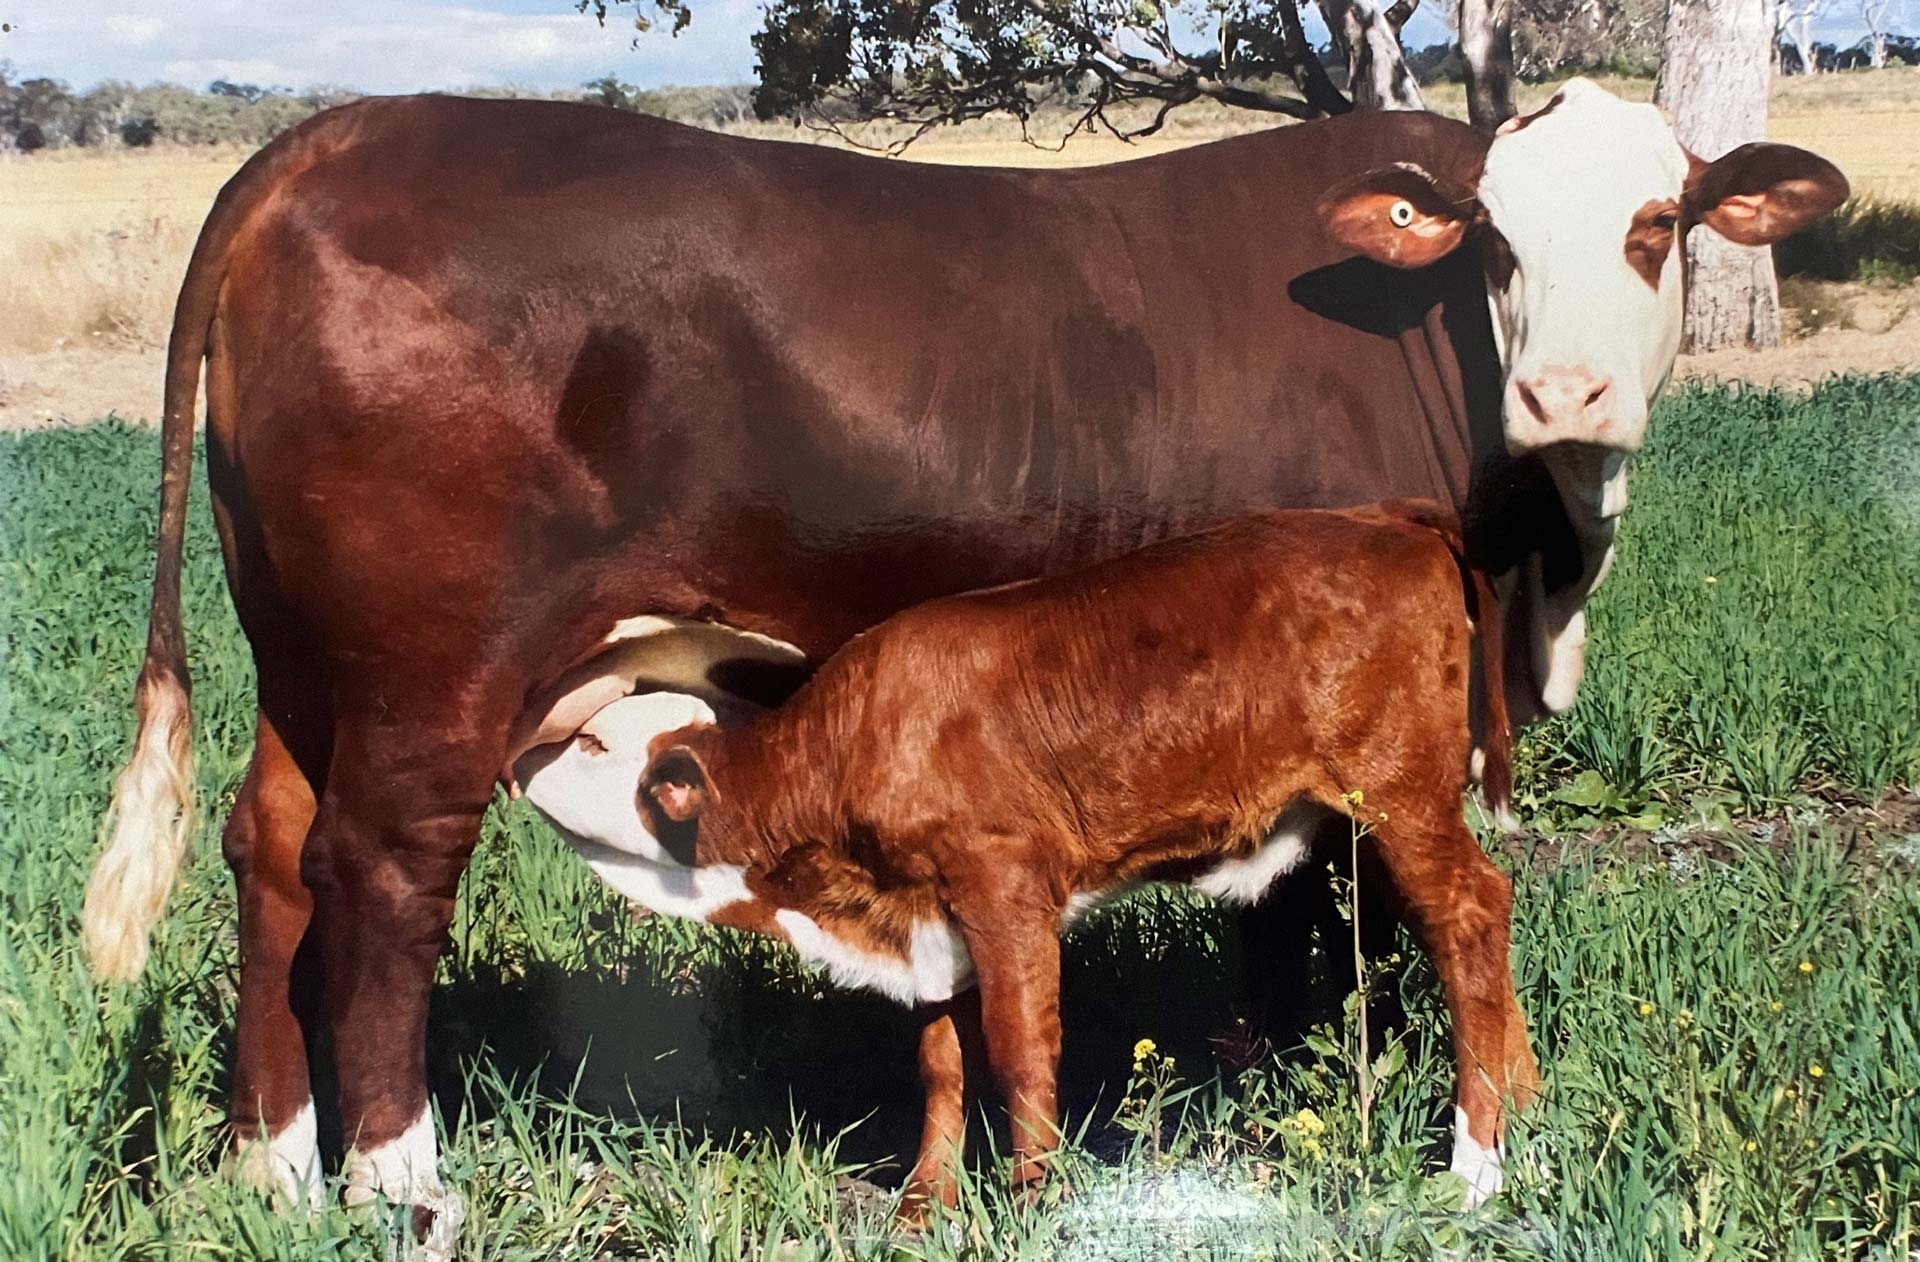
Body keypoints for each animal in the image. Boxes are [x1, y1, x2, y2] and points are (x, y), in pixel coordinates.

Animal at [512, 501, 1535, 1214]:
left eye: (595, 743)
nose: (518, 755)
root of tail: (1384, 515)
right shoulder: (930, 915)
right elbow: (940, 1061)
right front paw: (925, 1206)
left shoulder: (1002, 882)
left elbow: (1017, 1049)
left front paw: (1034, 1198)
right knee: (1472, 926)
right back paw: (1524, 1108)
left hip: (1398, 794)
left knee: (1469, 913)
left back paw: (1477, 1163)